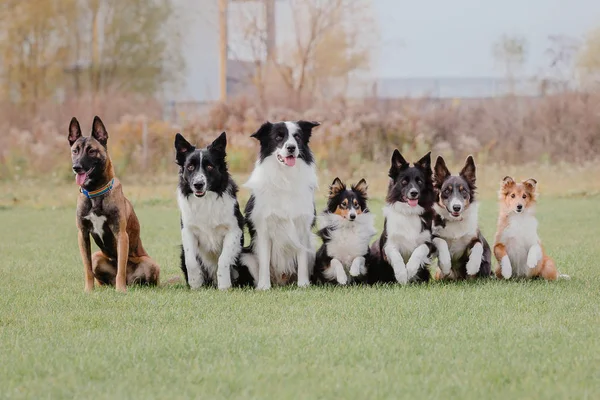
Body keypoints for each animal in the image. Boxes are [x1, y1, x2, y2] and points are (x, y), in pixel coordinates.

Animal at [68, 115, 161, 290]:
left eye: (91, 151)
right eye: (75, 150)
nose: (76, 167)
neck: (95, 193)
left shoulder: (121, 234)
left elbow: (121, 269)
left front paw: (120, 290)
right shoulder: (82, 234)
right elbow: (87, 269)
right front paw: (88, 290)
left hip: (150, 263)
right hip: (96, 256)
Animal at [175, 133, 252, 290]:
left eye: (210, 166)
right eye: (190, 167)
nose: (198, 185)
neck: (206, 200)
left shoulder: (234, 230)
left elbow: (223, 259)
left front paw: (224, 285)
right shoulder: (188, 231)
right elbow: (191, 261)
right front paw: (195, 284)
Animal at [241, 120, 322, 290]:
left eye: (297, 137)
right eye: (278, 137)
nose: (291, 147)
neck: (285, 177)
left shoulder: (302, 228)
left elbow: (301, 258)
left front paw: (303, 285)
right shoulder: (263, 229)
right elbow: (264, 262)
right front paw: (264, 287)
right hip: (247, 256)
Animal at [370, 150, 436, 284]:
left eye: (420, 181)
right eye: (404, 182)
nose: (414, 193)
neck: (409, 212)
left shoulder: (429, 243)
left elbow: (419, 250)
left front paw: (410, 269)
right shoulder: (388, 244)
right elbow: (396, 256)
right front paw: (401, 274)